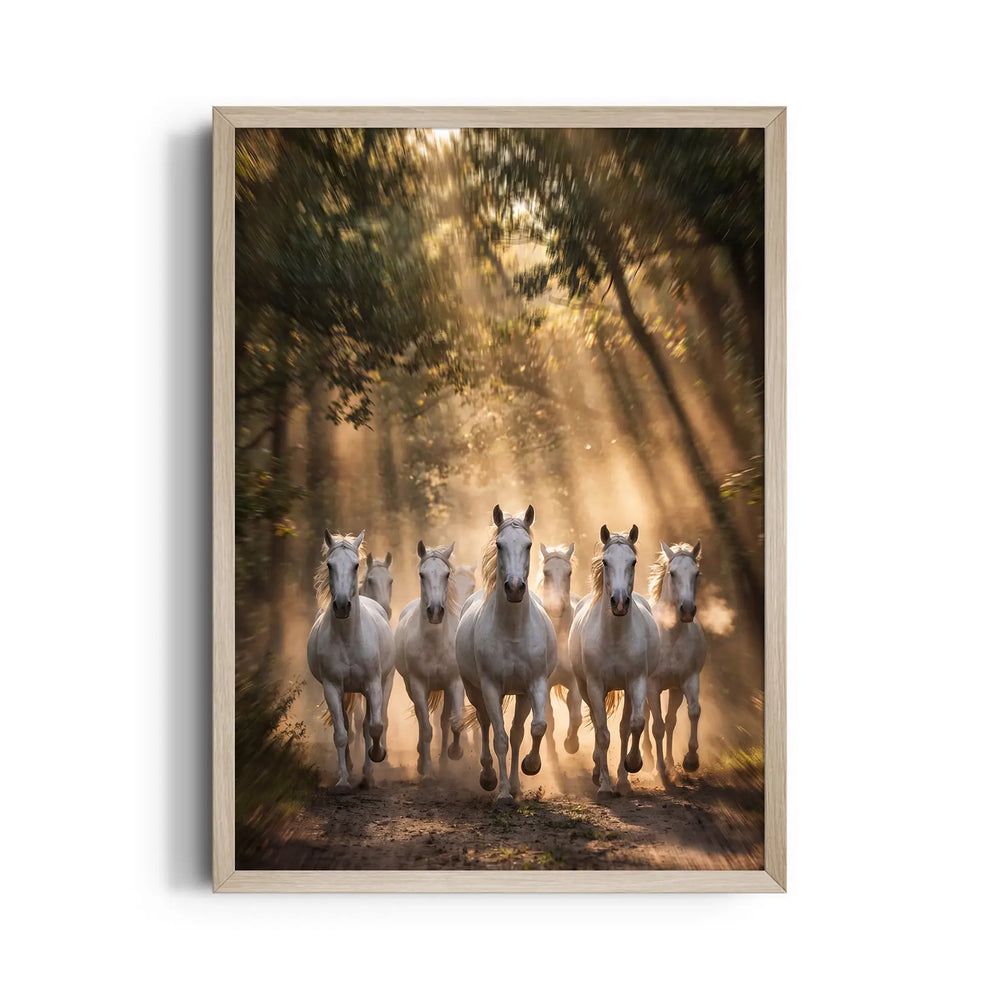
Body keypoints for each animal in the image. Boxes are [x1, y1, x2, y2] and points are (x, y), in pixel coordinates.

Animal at [307, 530, 395, 792]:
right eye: (329, 565)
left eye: (356, 565)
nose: (342, 606)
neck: (348, 637)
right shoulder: (332, 687)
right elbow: (341, 733)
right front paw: (343, 780)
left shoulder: (373, 685)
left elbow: (374, 726)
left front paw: (376, 757)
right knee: (346, 724)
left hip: (382, 683)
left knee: (369, 724)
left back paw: (369, 771)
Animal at [394, 541, 465, 778]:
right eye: (421, 574)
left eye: (446, 574)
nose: (435, 611)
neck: (434, 642)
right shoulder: (417, 684)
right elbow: (425, 728)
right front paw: (427, 771)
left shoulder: (454, 683)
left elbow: (455, 723)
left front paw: (454, 754)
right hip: (410, 686)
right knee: (420, 718)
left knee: (444, 722)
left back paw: (443, 762)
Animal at [455, 505, 557, 807]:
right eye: (499, 545)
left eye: (528, 545)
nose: (514, 587)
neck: (512, 629)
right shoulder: (490, 687)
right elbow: (499, 738)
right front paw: (501, 793)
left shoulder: (535, 684)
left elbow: (535, 728)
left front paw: (530, 767)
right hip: (475, 690)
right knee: (486, 724)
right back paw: (489, 777)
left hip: (520, 694)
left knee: (517, 733)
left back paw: (516, 785)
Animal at [569, 525, 660, 798]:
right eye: (606, 562)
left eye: (633, 561)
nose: (619, 602)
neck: (615, 636)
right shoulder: (595, 686)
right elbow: (602, 733)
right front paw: (605, 785)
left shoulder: (636, 682)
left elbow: (635, 724)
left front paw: (632, 764)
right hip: (585, 688)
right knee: (599, 723)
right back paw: (598, 772)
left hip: (628, 690)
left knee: (624, 727)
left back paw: (623, 779)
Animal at [646, 540, 708, 784]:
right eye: (672, 573)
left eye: (696, 573)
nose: (688, 610)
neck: (670, 635)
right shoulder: (652, 686)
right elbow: (657, 727)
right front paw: (660, 769)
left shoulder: (686, 682)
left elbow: (692, 713)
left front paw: (690, 761)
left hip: (673, 691)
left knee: (670, 721)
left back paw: (671, 763)